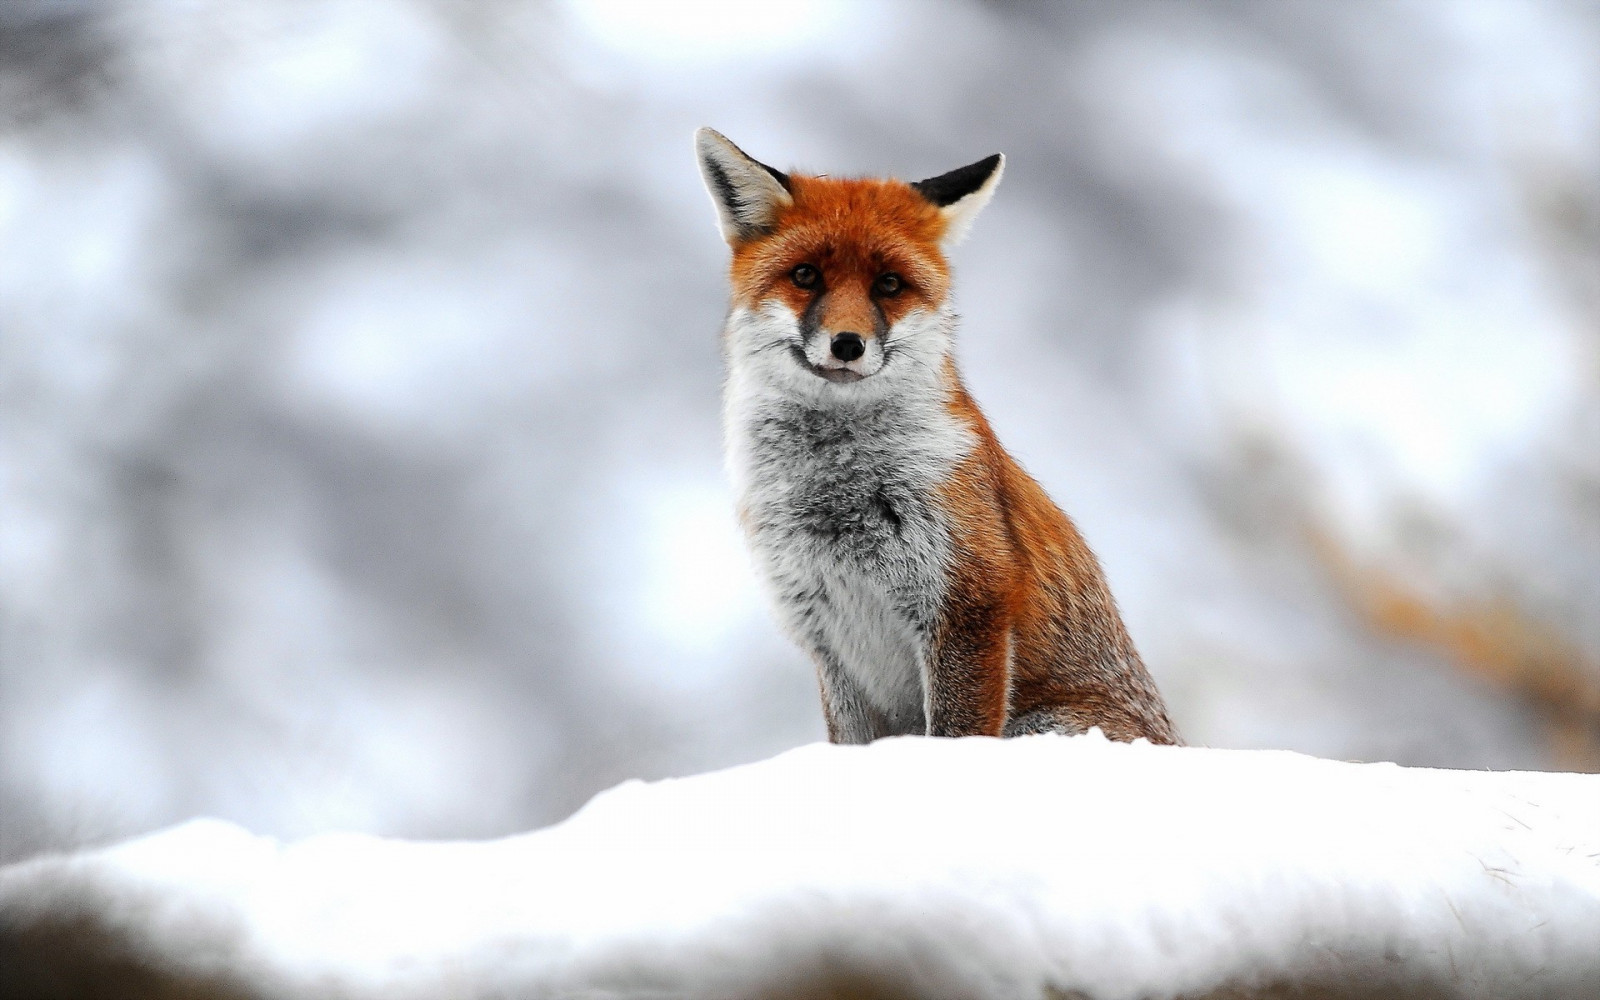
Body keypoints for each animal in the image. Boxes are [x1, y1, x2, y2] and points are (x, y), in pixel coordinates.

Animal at [696, 128, 1178, 745]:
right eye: (805, 276)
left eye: (889, 284)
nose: (847, 343)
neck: (835, 493)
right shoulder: (828, 639)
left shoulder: (967, 603)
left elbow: (953, 734)